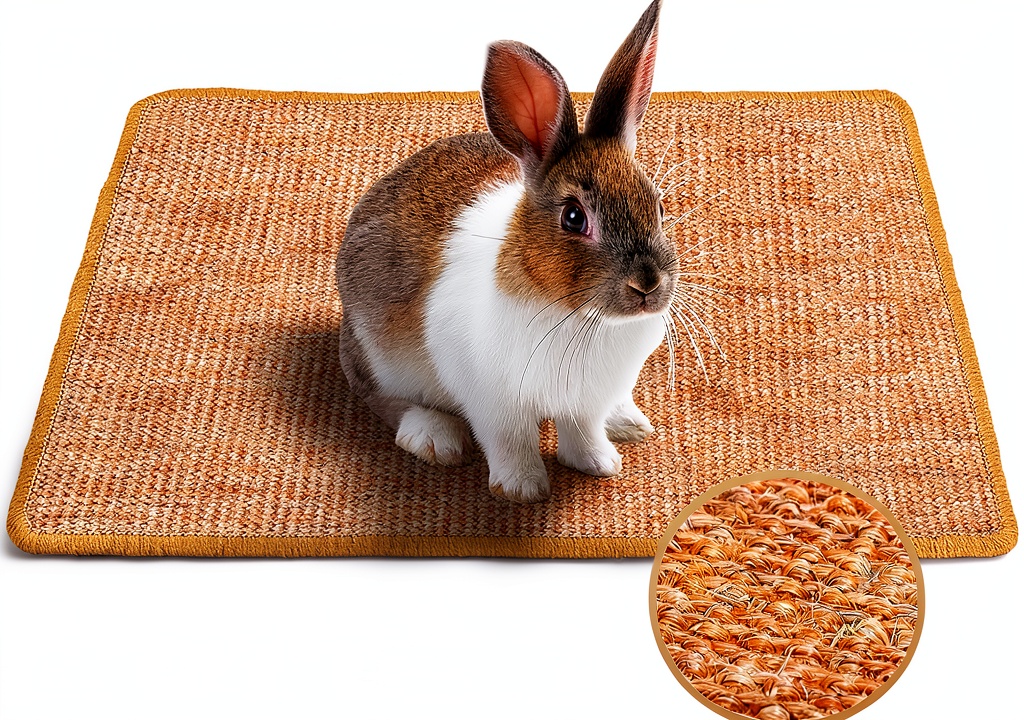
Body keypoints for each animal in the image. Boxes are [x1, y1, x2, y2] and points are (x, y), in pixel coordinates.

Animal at [336, 0, 677, 503]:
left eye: (657, 205)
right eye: (573, 218)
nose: (648, 284)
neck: (577, 314)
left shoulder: (585, 401)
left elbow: (583, 431)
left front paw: (599, 464)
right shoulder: (492, 399)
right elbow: (508, 439)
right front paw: (522, 489)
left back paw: (629, 423)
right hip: (378, 355)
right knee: (380, 397)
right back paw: (434, 436)